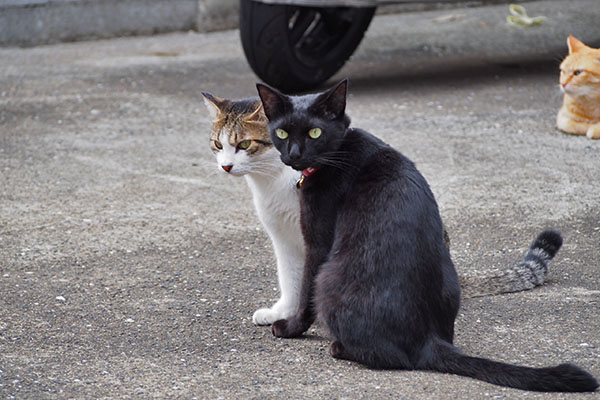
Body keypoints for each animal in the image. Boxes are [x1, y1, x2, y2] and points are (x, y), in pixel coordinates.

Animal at [254, 79, 600, 392]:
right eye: (281, 133)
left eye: (315, 133)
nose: (294, 155)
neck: (339, 150)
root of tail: (427, 341)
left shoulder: (317, 242)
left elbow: (304, 295)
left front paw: (290, 328)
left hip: (330, 278)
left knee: (388, 357)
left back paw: (340, 348)